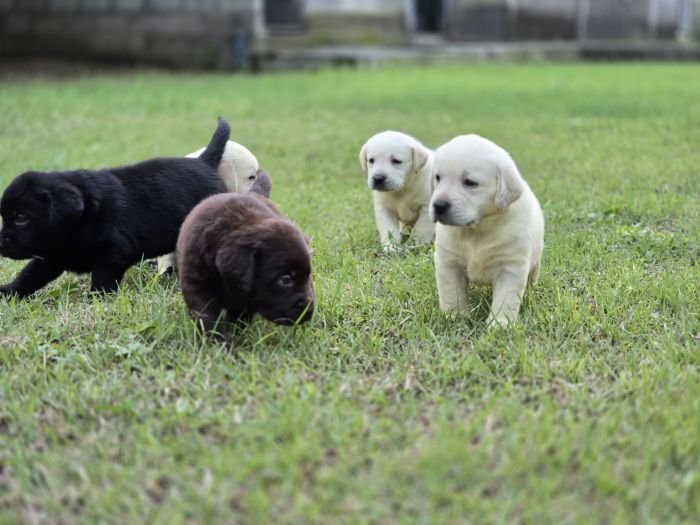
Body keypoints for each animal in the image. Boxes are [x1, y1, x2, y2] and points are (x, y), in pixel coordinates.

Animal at [0, 119, 230, 298]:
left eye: (21, 217)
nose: (0, 245)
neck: (83, 218)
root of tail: (204, 162)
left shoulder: (111, 254)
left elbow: (103, 280)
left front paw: (96, 299)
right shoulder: (52, 256)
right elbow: (29, 276)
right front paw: (8, 291)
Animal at [178, 170, 314, 334]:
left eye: (308, 275)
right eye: (285, 280)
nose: (309, 311)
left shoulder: (246, 301)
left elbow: (240, 316)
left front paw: (236, 333)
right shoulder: (196, 284)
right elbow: (207, 318)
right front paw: (217, 339)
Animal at [430, 134, 544, 324]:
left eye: (470, 183)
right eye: (438, 177)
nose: (438, 205)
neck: (477, 229)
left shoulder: (510, 267)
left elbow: (505, 299)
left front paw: (500, 324)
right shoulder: (448, 262)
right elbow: (452, 293)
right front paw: (454, 316)